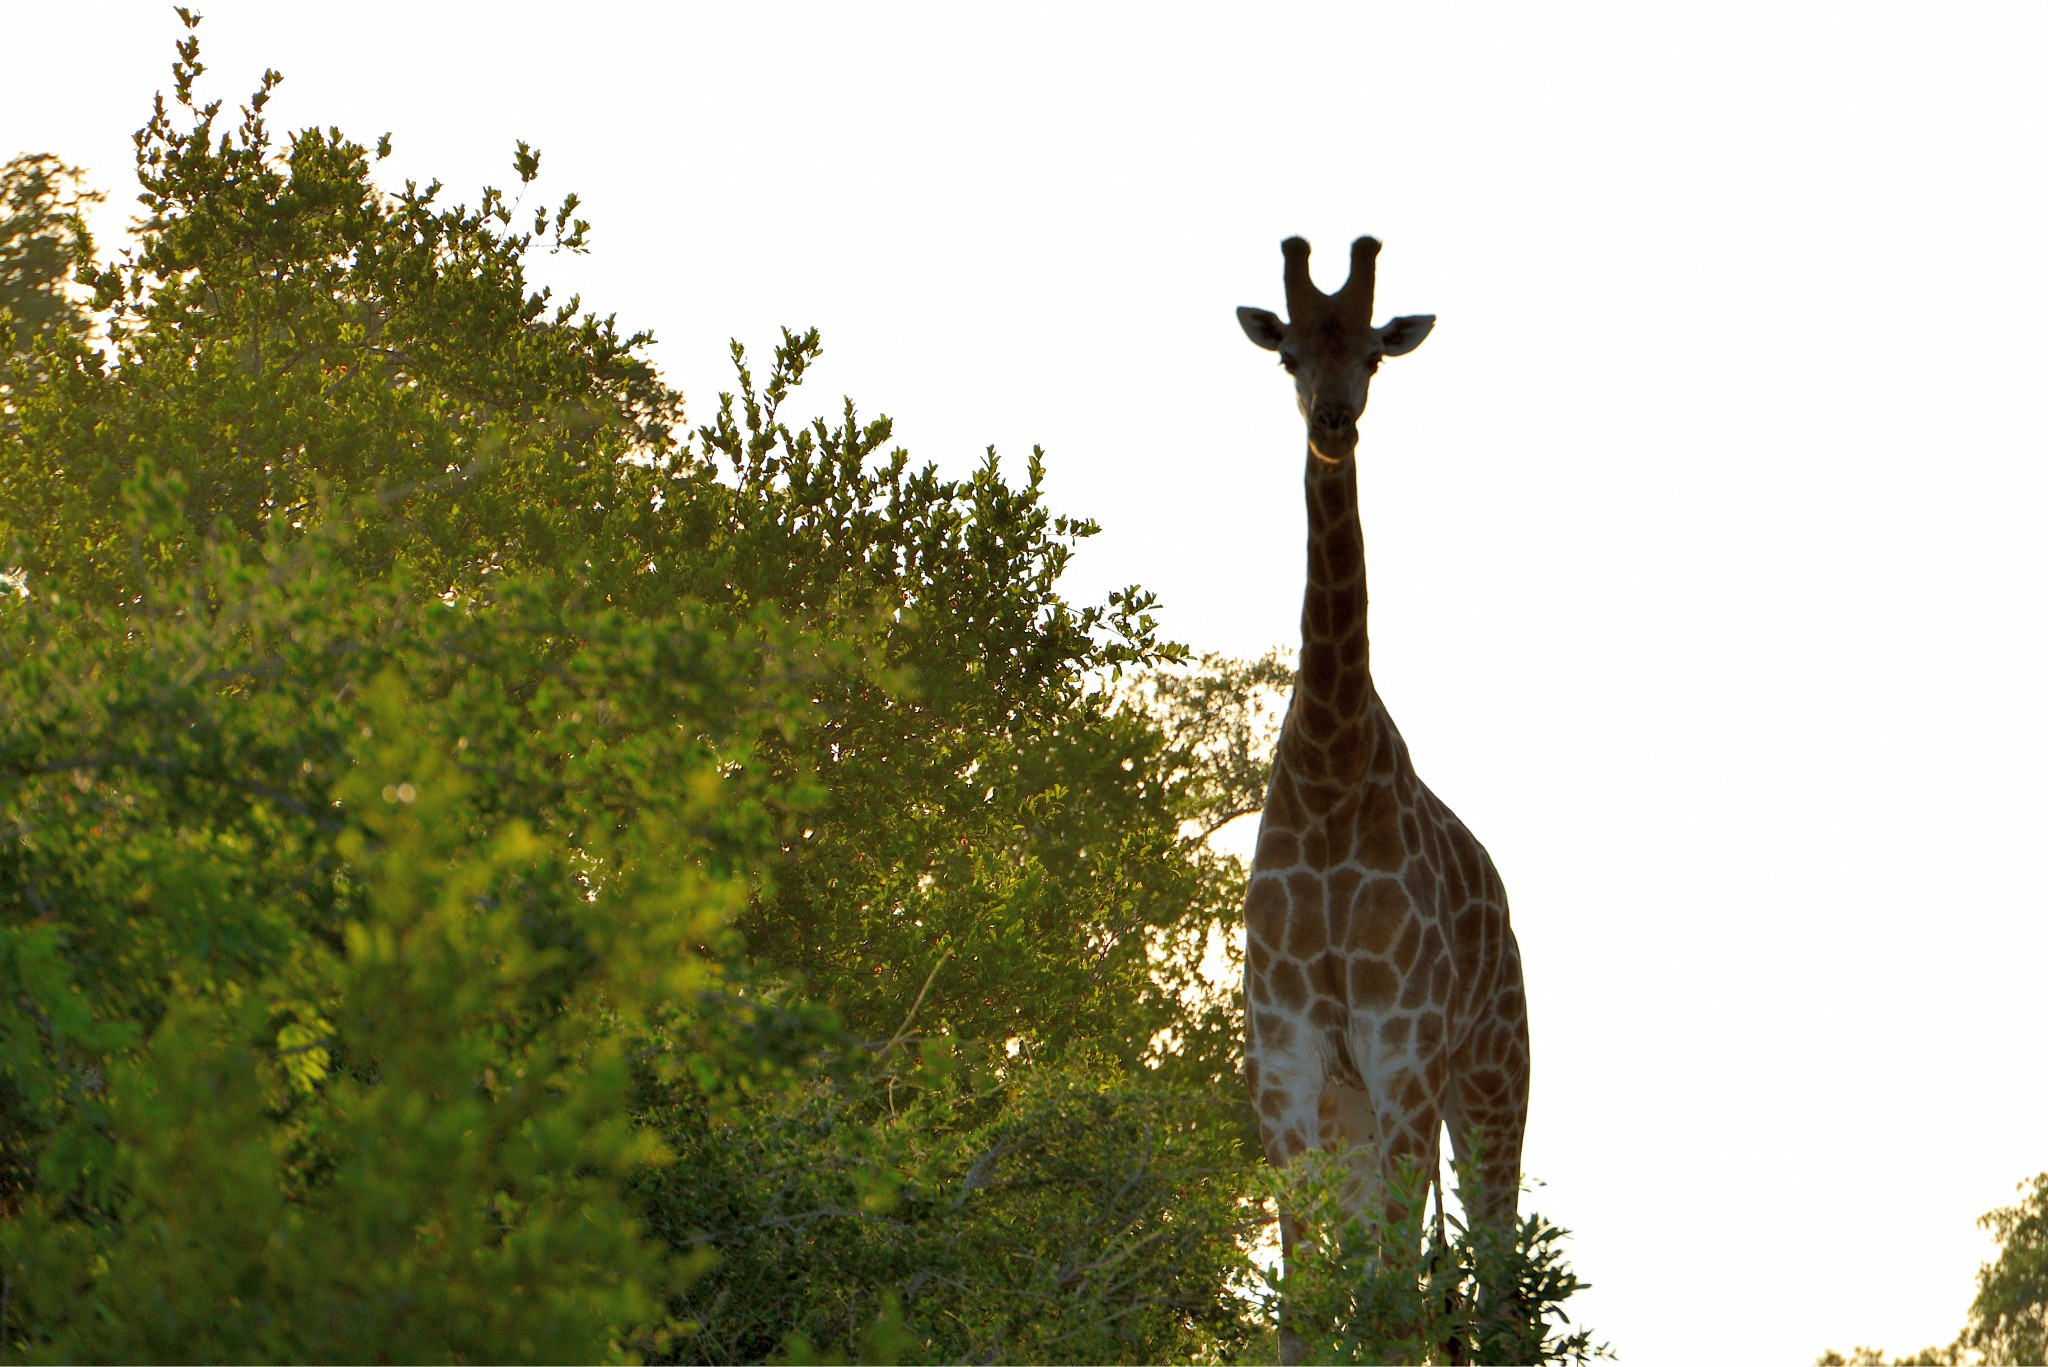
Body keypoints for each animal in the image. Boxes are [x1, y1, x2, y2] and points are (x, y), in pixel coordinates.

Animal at [1220, 235, 1531, 1360]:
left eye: (1372, 352)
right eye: (1287, 354)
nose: (1331, 421)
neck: (1328, 766)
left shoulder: (1403, 1054)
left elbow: (1396, 1302)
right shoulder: (1288, 1067)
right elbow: (1307, 1310)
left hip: (1489, 1080)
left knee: (1497, 1290)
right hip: (1364, 1116)